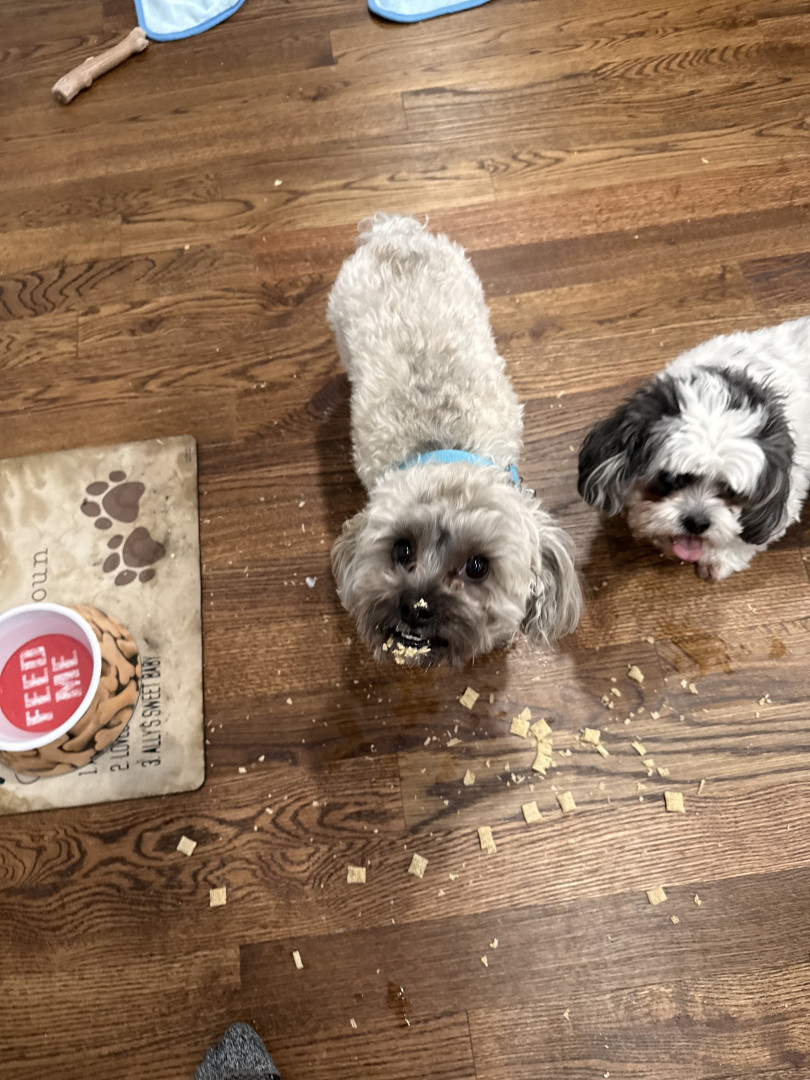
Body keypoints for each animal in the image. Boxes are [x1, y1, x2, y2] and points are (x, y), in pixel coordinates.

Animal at [578, 316, 810, 581]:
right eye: (669, 478)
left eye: (731, 491)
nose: (697, 523)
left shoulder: (787, 493)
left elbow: (746, 539)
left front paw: (719, 558)